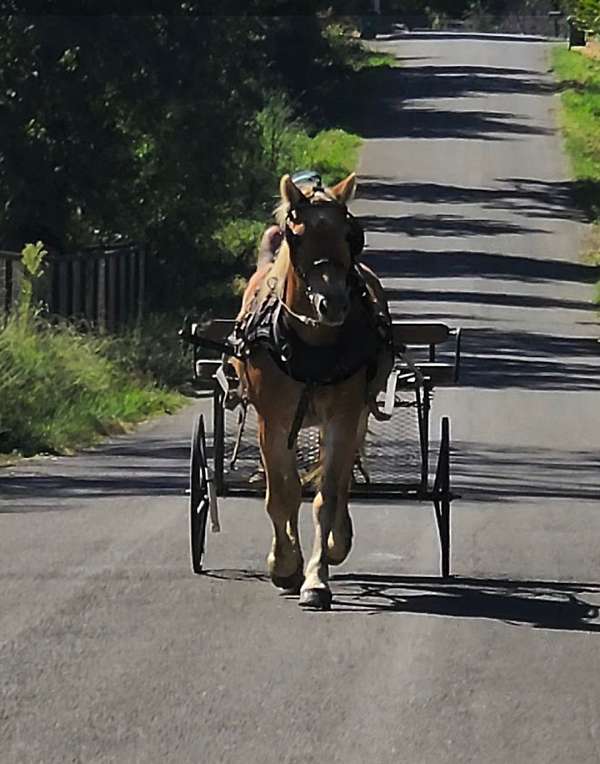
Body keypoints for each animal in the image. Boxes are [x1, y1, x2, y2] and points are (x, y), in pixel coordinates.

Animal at [230, 172, 394, 608]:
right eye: (297, 236)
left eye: (350, 235)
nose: (332, 303)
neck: (310, 344)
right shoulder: (272, 422)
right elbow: (281, 496)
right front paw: (285, 565)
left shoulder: (342, 417)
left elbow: (327, 495)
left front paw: (317, 578)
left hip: (355, 412)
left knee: (342, 478)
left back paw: (339, 540)